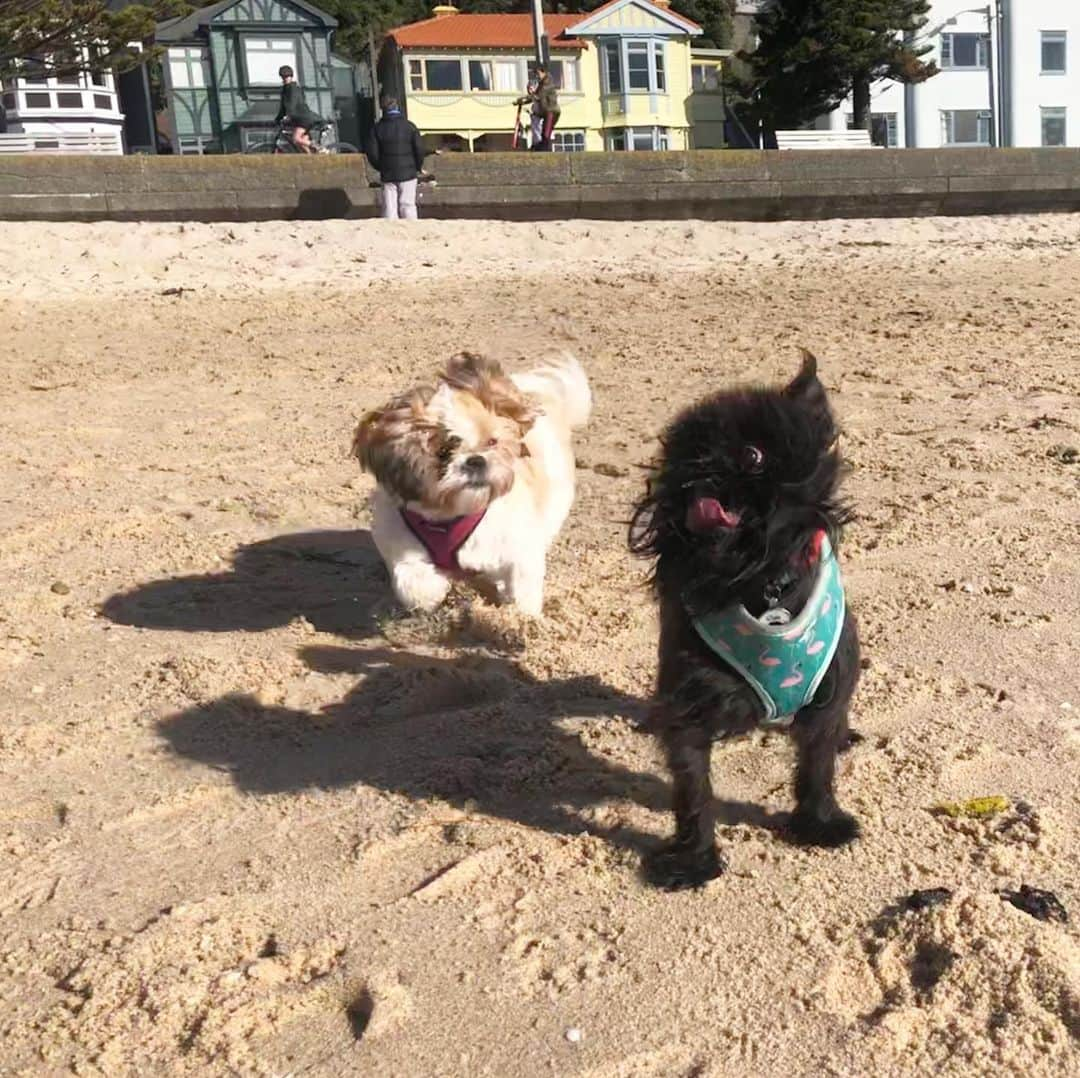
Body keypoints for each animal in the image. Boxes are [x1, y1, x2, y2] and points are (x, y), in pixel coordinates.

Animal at [352, 354, 591, 617]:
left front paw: (521, 618)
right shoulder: (400, 543)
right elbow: (414, 581)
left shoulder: (520, 550)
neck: (450, 517)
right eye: (443, 451)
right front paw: (434, 589)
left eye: (492, 442)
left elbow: (522, 586)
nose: (476, 460)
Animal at [630, 349, 859, 890]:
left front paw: (820, 822)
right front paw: (692, 859)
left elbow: (817, 764)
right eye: (674, 453)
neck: (758, 583)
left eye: (752, 455)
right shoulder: (689, 704)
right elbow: (693, 788)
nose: (693, 467)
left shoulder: (829, 691)